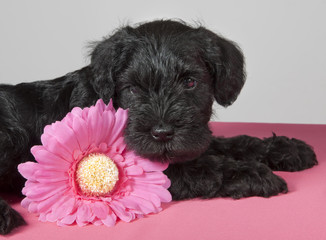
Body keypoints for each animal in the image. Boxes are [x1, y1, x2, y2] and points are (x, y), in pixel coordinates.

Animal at [0, 20, 316, 234]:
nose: (162, 133)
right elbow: (207, 167)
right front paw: (254, 174)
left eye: (190, 82)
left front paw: (286, 148)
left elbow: (231, 143)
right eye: (133, 89)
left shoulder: (192, 138)